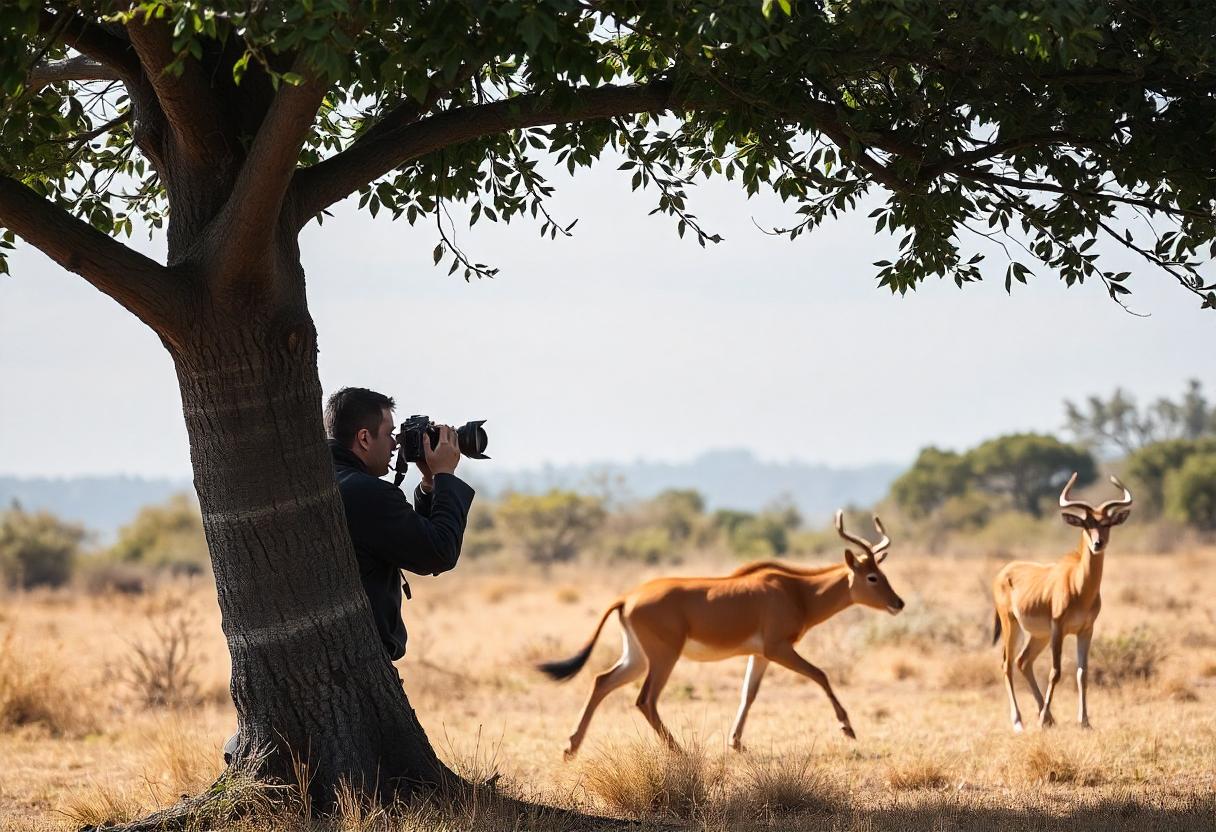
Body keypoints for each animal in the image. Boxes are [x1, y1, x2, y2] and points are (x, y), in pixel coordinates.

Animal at [535, 510, 904, 759]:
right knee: (645, 700)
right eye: (872, 576)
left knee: (602, 681)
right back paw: (680, 752)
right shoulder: (778, 648)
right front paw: (848, 728)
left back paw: (571, 748)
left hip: (637, 658)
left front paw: (736, 742)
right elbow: (821, 674)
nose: (898, 603)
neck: (795, 591)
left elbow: (748, 694)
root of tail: (628, 597)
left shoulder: (760, 655)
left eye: (883, 573)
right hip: (664, 657)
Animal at [992, 471, 1133, 729]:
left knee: (1023, 661)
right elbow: (1055, 672)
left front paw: (1085, 722)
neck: (1079, 585)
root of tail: (1005, 571)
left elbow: (1082, 672)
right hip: (1012, 625)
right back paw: (1020, 721)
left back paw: (1048, 717)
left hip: (1039, 635)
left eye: (1106, 523)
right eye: (1087, 524)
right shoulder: (1058, 628)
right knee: (1007, 664)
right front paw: (1042, 720)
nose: (1098, 544)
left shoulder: (1086, 630)